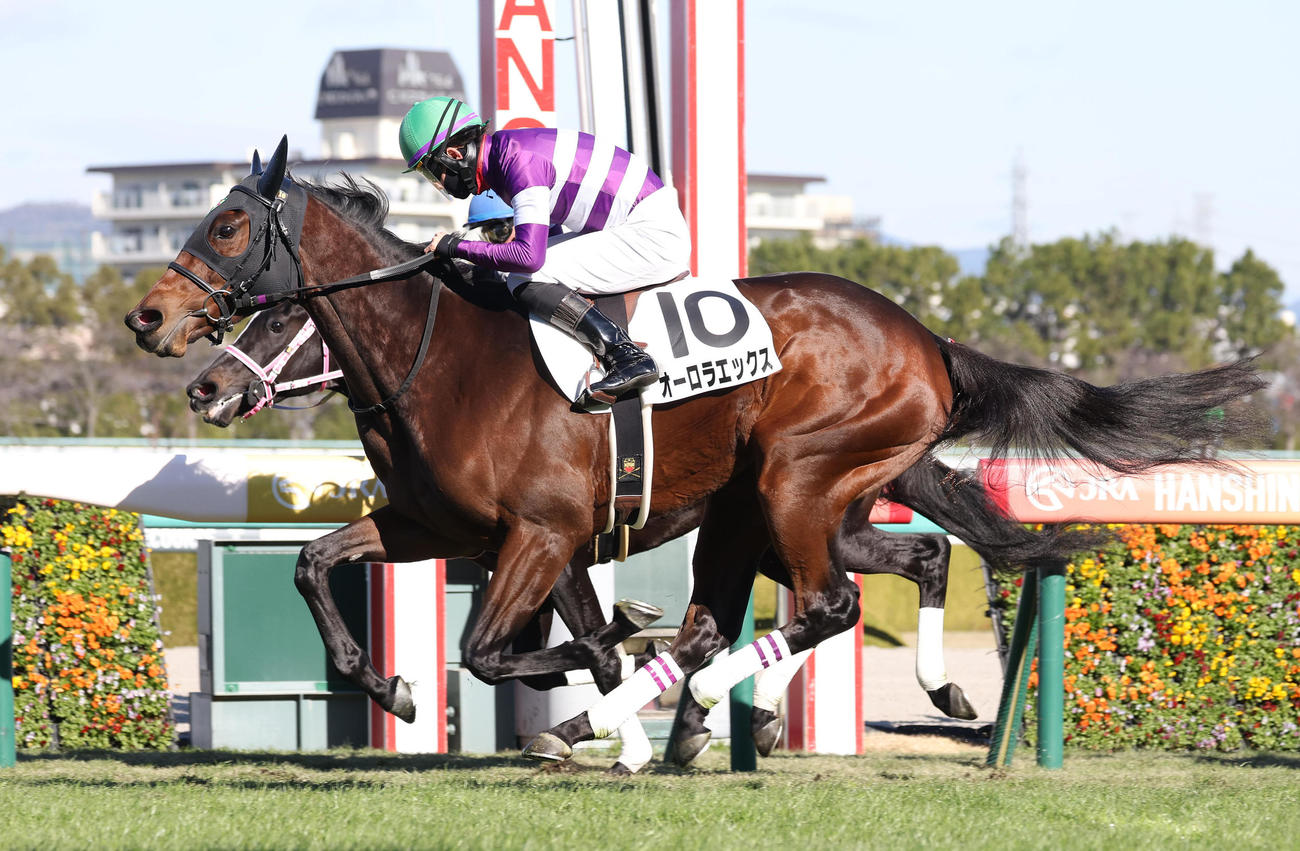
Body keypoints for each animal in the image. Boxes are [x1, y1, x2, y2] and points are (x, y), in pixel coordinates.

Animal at [125, 138, 1263, 764]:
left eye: (230, 226)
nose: (160, 331)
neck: (436, 355)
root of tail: (924, 336)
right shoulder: (441, 524)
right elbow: (317, 562)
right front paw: (399, 687)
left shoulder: (540, 532)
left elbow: (506, 648)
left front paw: (605, 678)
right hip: (801, 499)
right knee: (906, 561)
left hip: (798, 482)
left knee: (825, 606)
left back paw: (703, 706)